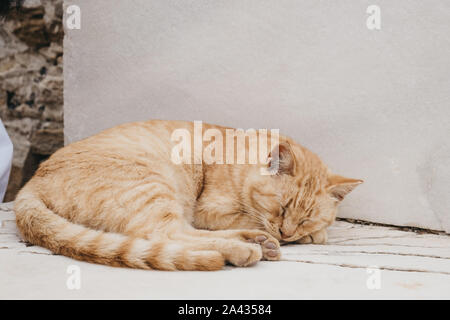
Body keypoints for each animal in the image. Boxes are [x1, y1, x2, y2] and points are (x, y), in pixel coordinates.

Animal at [14, 120, 362, 270]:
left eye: (305, 218)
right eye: (281, 207)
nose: (288, 232)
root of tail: (31, 183)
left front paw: (305, 235)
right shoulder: (210, 210)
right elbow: (249, 218)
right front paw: (306, 237)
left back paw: (257, 243)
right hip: (153, 187)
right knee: (169, 235)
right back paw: (244, 249)